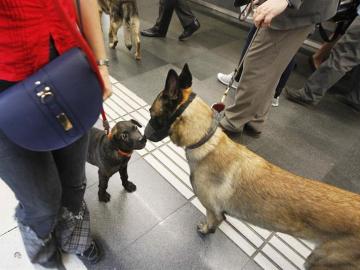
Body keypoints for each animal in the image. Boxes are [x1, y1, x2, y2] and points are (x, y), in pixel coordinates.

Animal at [145, 63, 360, 270]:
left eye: (151, 114)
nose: (143, 135)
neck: (207, 139)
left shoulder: (213, 210)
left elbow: (212, 223)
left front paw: (206, 230)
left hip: (320, 261)